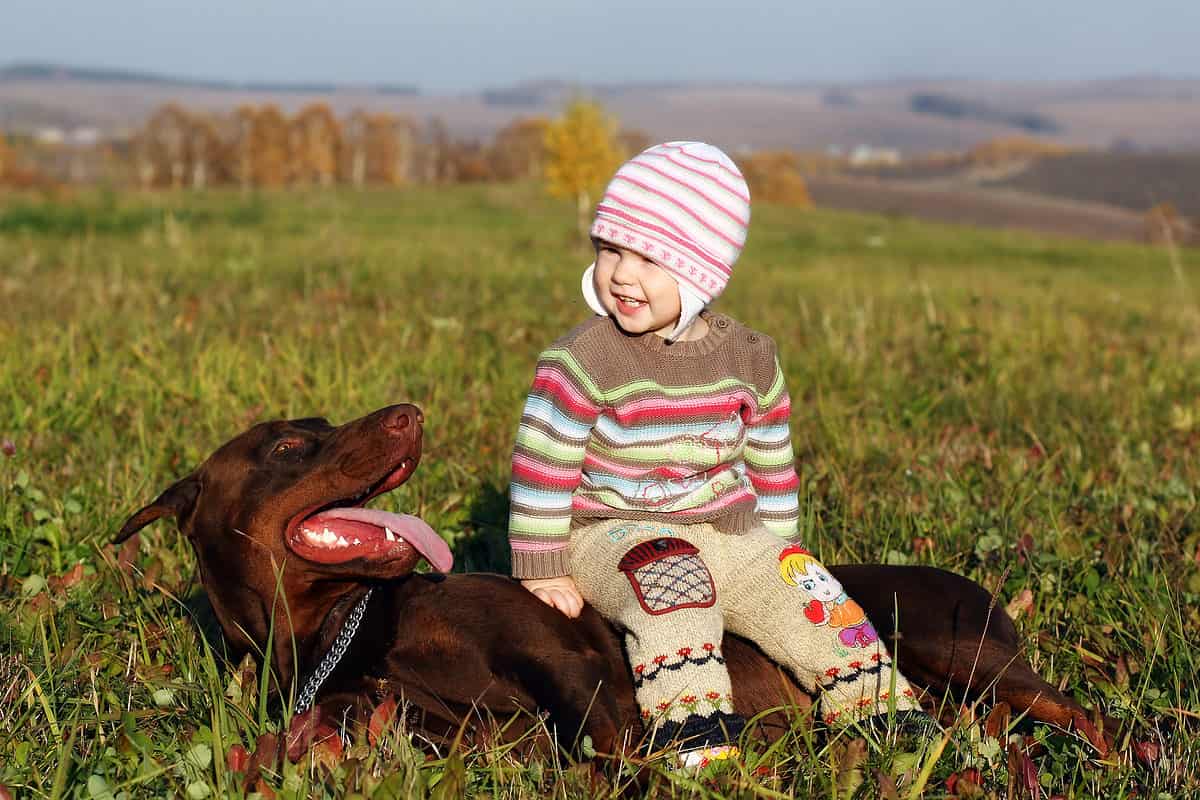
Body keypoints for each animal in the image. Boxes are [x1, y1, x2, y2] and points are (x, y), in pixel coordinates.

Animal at [117, 402, 1108, 762]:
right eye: (292, 445)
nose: (409, 412)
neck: (350, 632)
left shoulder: (565, 661)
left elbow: (607, 743)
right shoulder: (439, 727)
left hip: (959, 649)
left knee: (1082, 711)